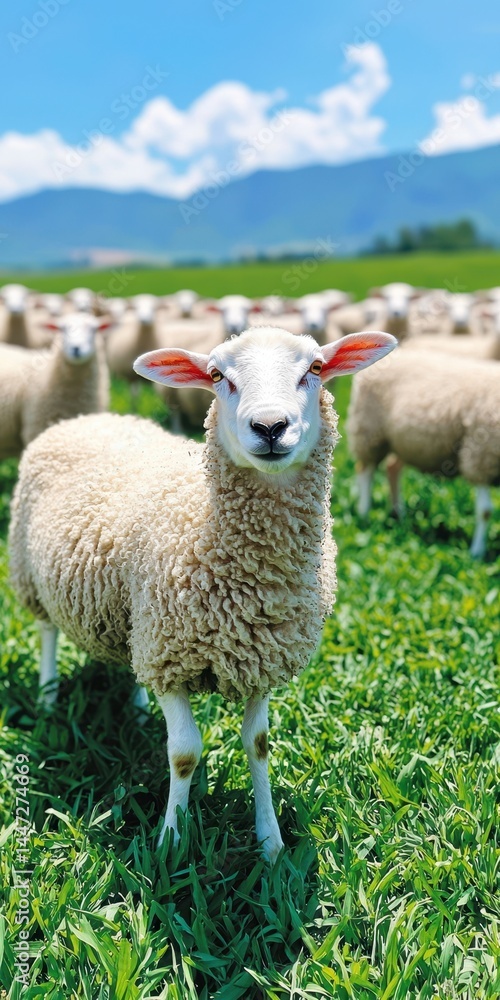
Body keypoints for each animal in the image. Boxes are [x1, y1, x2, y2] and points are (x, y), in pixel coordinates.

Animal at [9, 327, 396, 860]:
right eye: (216, 376)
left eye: (315, 369)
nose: (270, 426)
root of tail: (92, 417)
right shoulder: (171, 656)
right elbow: (184, 753)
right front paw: (171, 841)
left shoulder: (257, 659)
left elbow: (259, 745)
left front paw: (271, 845)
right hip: (33, 574)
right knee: (46, 630)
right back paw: (48, 697)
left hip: (136, 620)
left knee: (131, 659)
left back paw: (136, 705)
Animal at [347, 347, 500, 558]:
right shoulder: (481, 457)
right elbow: (485, 511)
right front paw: (476, 553)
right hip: (369, 430)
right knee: (365, 471)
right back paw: (364, 513)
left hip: (402, 441)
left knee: (392, 468)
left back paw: (398, 514)